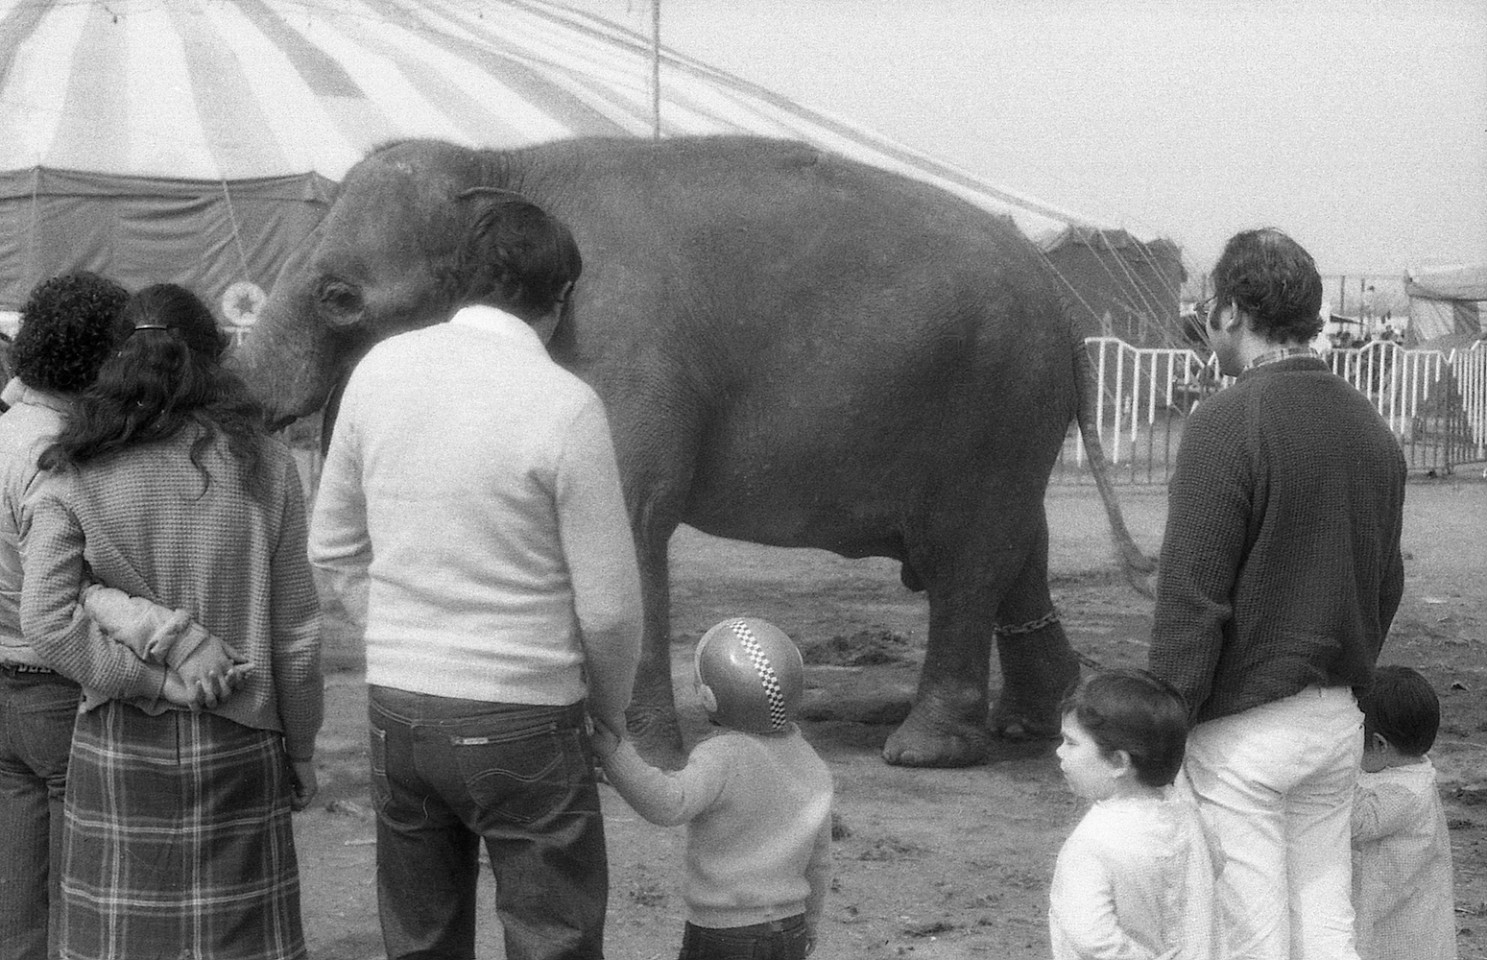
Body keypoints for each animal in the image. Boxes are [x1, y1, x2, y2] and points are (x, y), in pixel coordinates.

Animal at [234, 133, 1147, 766]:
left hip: (991, 402)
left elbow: (626, 519)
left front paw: (632, 760)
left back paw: (926, 753)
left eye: (338, 297)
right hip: (1011, 416)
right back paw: (1033, 724)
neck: (502, 160)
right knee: (1015, 551)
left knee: (964, 562)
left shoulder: (617, 351)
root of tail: (1065, 307)